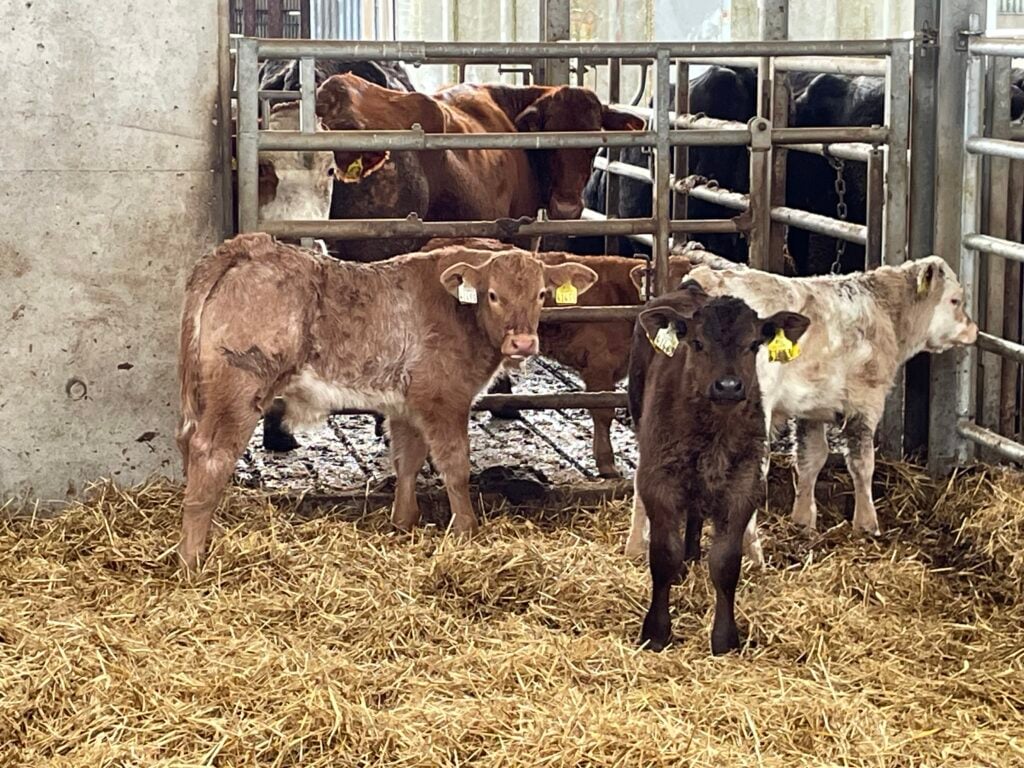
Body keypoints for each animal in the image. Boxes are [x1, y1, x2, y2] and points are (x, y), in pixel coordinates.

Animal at [175, 233, 598, 570]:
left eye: (541, 295)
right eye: (493, 295)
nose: (523, 343)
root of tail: (246, 248)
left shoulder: (407, 406)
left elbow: (407, 460)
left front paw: (403, 522)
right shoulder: (445, 399)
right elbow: (456, 466)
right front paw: (467, 530)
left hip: (202, 392)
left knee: (187, 444)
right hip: (240, 387)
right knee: (210, 453)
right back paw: (192, 557)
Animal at [624, 256, 978, 564]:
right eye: (955, 300)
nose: (974, 330)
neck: (883, 311)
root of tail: (699, 283)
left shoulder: (812, 410)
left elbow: (811, 459)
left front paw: (803, 519)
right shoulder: (866, 401)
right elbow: (862, 463)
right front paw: (867, 524)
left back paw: (637, 547)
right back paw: (753, 553)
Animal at [629, 282, 809, 653]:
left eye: (754, 344)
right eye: (697, 343)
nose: (728, 386)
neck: (714, 435)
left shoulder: (744, 486)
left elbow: (726, 563)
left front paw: (725, 639)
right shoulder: (658, 482)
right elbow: (663, 555)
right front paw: (656, 632)